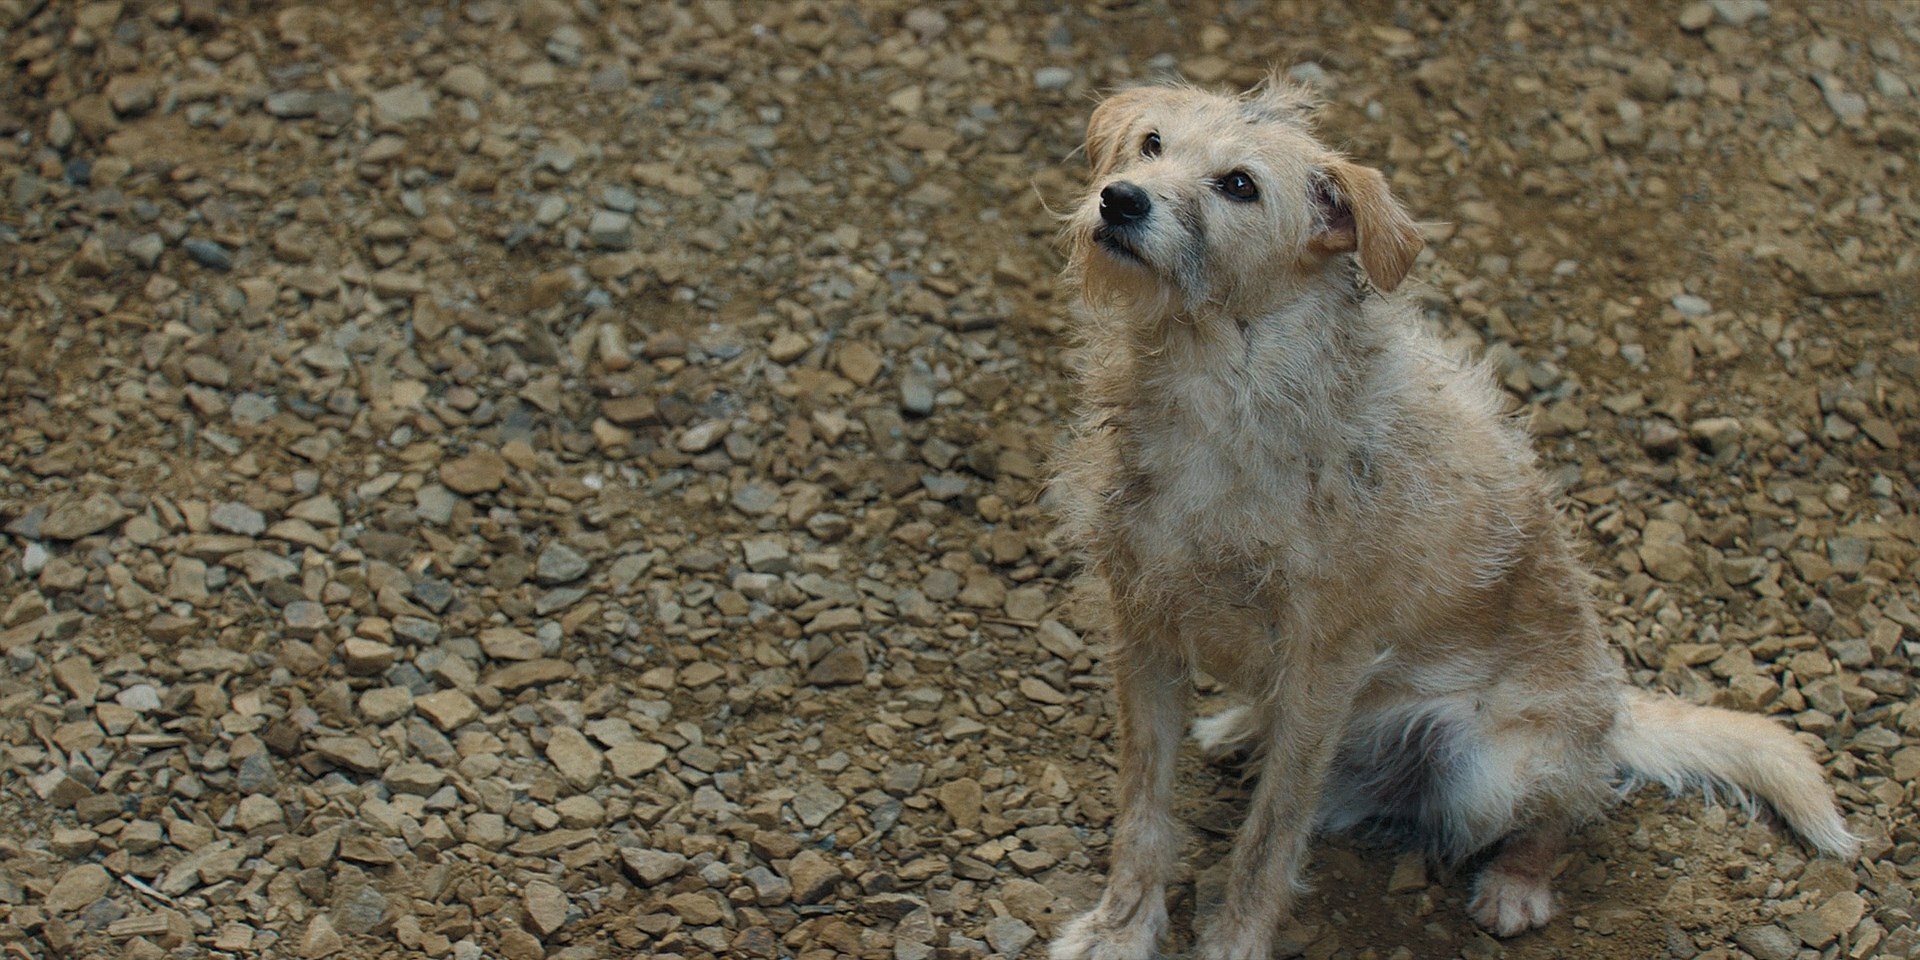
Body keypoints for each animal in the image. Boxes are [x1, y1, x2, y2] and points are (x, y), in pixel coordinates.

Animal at [1044, 74, 1850, 960]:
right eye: (1151, 143)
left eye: (1240, 185)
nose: (1120, 199)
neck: (1218, 377)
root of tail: (1610, 715)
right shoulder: (1145, 628)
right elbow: (1143, 807)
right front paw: (1121, 926)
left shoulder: (1324, 664)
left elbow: (1270, 835)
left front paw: (1233, 941)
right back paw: (1241, 727)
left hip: (1495, 769)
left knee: (1569, 808)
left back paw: (1516, 884)